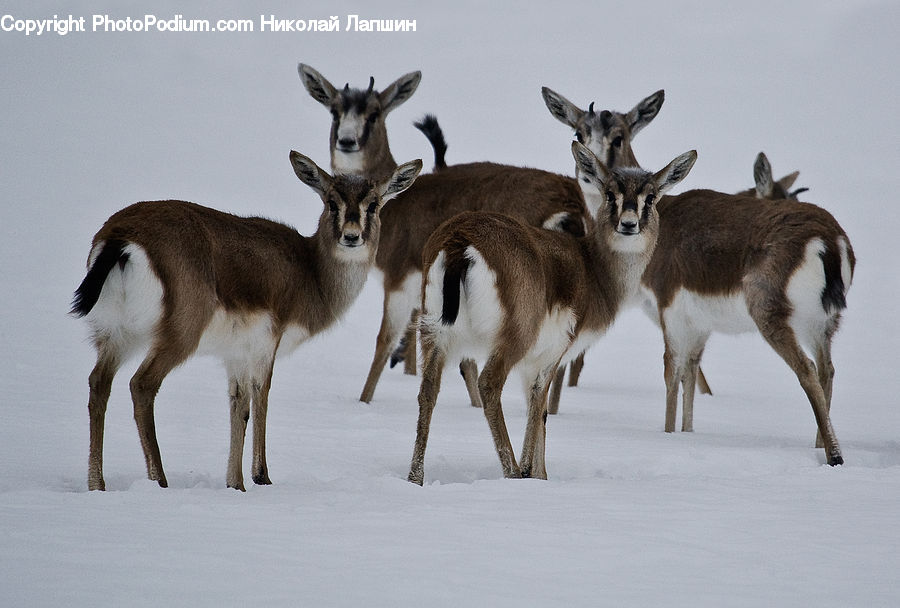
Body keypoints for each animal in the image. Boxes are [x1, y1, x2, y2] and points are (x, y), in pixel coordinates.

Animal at [71, 151, 423, 491]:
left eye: (373, 204)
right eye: (331, 202)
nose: (351, 237)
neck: (309, 272)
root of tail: (120, 237)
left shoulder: (235, 354)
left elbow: (238, 407)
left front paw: (235, 483)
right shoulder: (265, 346)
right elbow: (260, 397)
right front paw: (261, 477)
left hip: (116, 335)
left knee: (98, 382)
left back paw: (97, 484)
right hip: (178, 336)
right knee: (141, 385)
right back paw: (160, 481)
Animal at [407, 142, 697, 485]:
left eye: (650, 197)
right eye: (610, 193)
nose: (628, 224)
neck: (592, 271)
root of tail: (460, 239)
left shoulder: (534, 361)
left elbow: (538, 408)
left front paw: (539, 474)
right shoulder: (552, 354)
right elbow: (539, 405)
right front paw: (531, 473)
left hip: (434, 333)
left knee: (427, 389)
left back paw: (415, 477)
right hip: (513, 337)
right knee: (488, 383)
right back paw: (512, 472)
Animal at [639, 179, 853, 466]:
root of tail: (829, 242)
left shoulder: (671, 311)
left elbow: (672, 373)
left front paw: (668, 435)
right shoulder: (700, 325)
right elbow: (690, 372)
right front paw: (687, 432)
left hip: (768, 312)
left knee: (807, 368)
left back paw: (834, 455)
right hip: (821, 322)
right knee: (826, 369)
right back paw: (819, 446)